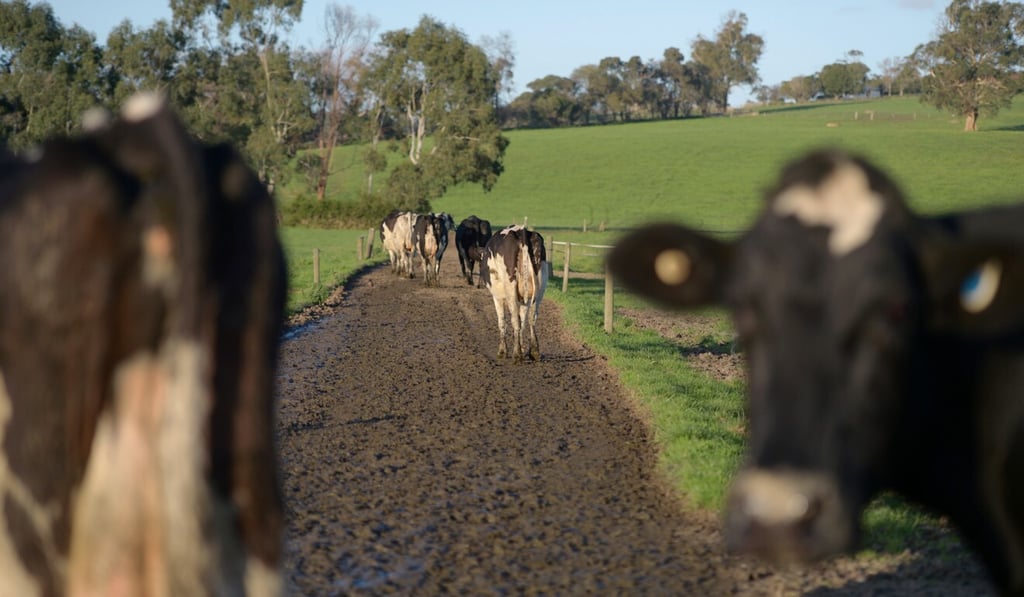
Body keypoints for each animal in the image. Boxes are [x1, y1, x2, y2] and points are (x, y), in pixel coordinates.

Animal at [481, 225, 548, 363]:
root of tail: (522, 231)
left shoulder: (497, 297)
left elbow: (502, 322)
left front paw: (502, 351)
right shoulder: (523, 300)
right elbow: (522, 321)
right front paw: (522, 348)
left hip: (511, 289)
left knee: (515, 321)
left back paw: (517, 355)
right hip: (540, 288)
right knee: (532, 318)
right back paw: (534, 352)